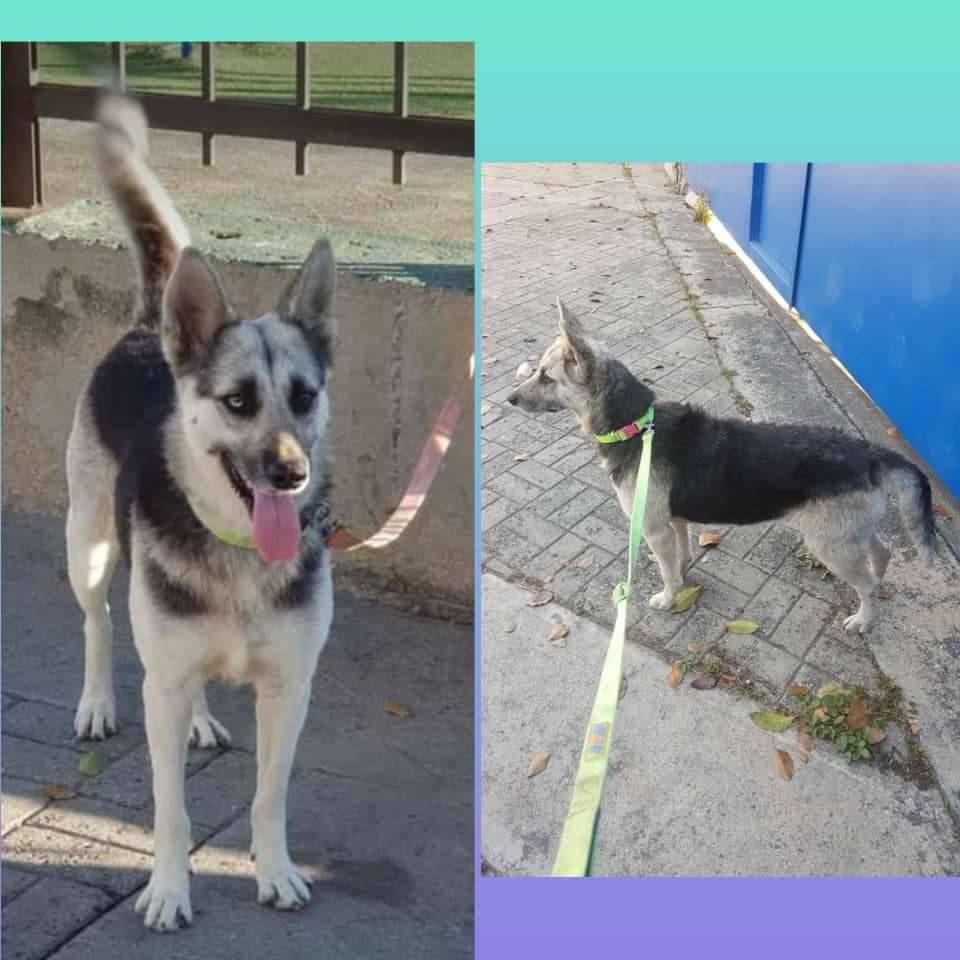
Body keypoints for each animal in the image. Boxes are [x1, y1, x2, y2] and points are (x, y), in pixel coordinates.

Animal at [65, 94, 337, 931]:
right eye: (238, 401)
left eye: (304, 396)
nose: (291, 474)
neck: (238, 550)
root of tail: (146, 330)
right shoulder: (163, 682)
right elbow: (169, 811)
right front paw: (168, 887)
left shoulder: (290, 691)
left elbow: (269, 797)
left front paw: (274, 869)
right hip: (88, 546)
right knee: (99, 624)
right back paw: (96, 702)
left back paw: (201, 722)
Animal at [507, 301, 935, 634]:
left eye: (546, 376)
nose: (509, 399)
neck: (635, 425)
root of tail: (869, 453)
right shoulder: (675, 522)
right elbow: (679, 560)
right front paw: (682, 582)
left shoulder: (653, 528)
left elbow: (666, 571)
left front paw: (667, 598)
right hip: (848, 533)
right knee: (881, 555)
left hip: (831, 545)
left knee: (865, 582)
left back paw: (863, 619)